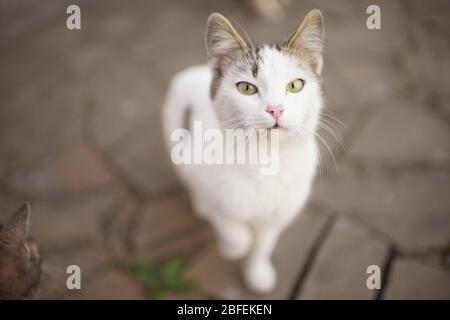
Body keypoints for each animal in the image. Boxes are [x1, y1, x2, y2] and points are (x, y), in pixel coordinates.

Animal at [163, 10, 326, 294]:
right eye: (246, 88)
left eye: (295, 85)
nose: (275, 109)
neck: (264, 160)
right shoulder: (208, 181)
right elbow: (230, 224)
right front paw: (235, 245)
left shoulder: (280, 212)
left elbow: (264, 244)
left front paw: (257, 272)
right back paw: (200, 206)